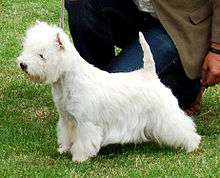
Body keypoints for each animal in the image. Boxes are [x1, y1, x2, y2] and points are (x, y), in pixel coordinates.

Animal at [17, 21, 201, 162]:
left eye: (42, 55)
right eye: (26, 48)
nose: (23, 64)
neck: (66, 81)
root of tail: (149, 74)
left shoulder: (86, 122)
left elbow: (83, 140)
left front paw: (79, 157)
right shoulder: (67, 119)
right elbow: (66, 135)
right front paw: (65, 148)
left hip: (165, 114)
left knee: (182, 126)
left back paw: (193, 145)